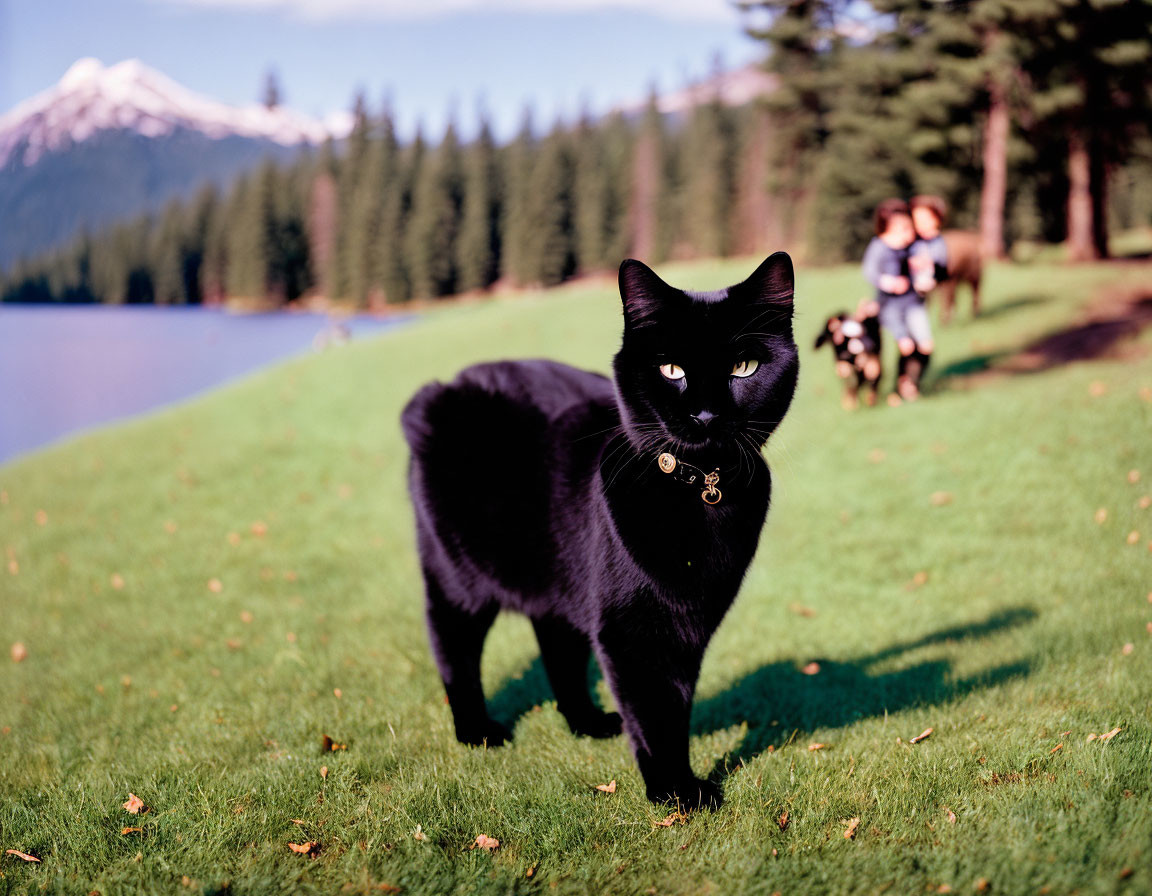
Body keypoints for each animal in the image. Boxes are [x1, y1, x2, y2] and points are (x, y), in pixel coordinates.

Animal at [400, 253, 797, 810]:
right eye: (671, 369)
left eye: (744, 368)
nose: (705, 414)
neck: (701, 491)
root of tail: (444, 387)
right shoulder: (630, 629)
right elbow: (655, 709)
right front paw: (676, 793)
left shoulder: (690, 621)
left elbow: (677, 701)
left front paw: (678, 783)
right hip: (457, 574)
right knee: (452, 642)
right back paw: (477, 730)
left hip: (558, 575)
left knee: (558, 646)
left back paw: (586, 722)